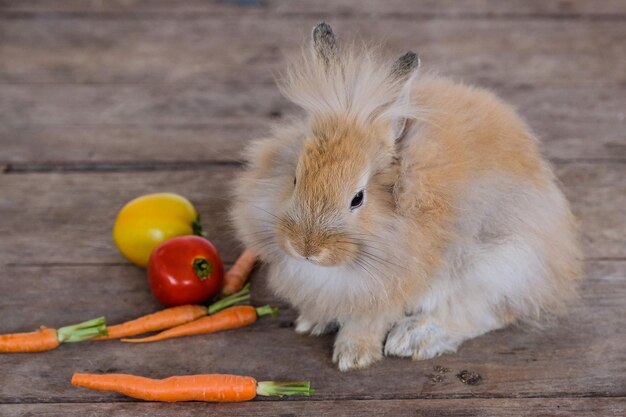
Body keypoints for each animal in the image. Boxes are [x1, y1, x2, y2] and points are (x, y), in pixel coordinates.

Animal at [229, 22, 580, 370]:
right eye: (295, 178)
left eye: (357, 198)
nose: (305, 248)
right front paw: (312, 321)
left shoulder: (391, 287)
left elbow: (368, 320)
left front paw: (353, 356)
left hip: (501, 264)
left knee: (487, 312)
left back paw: (414, 338)